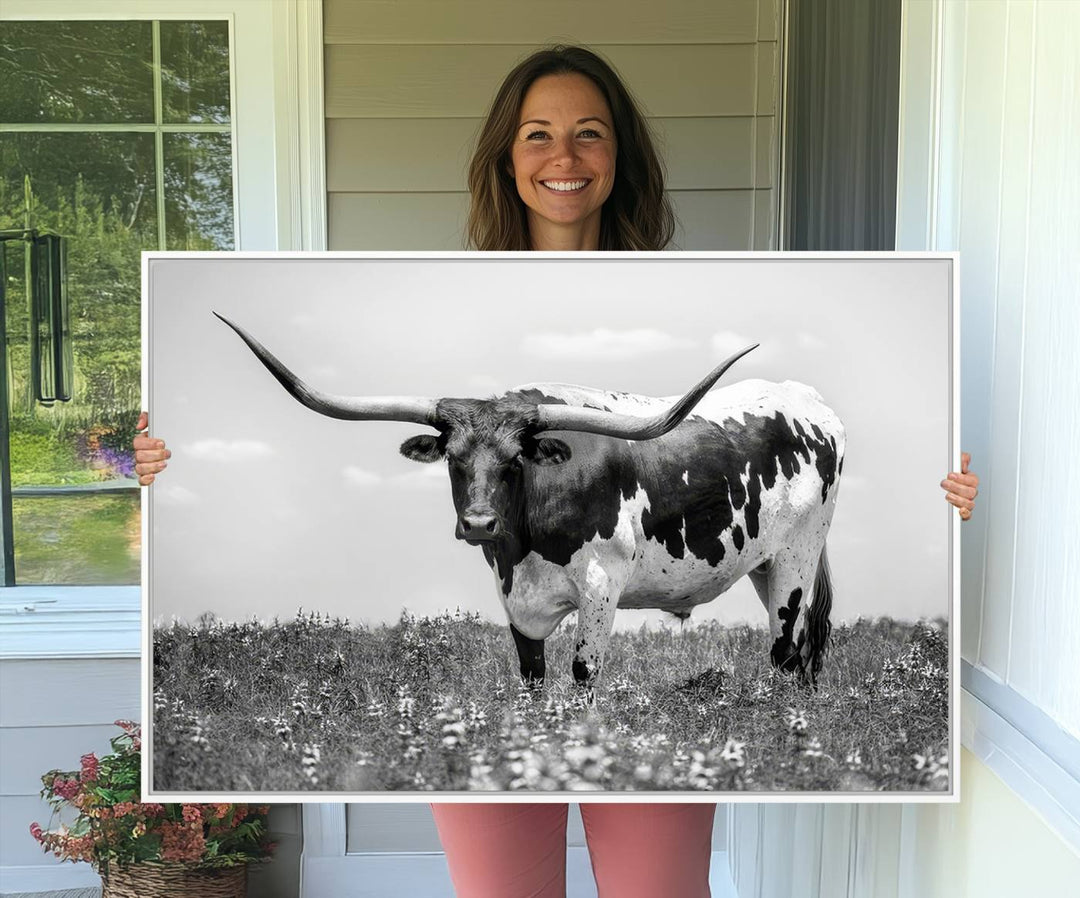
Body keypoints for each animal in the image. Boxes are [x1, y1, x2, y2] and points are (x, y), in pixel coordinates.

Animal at [217, 313, 842, 682]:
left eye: (514, 460)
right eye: (453, 458)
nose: (478, 523)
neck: (524, 544)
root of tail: (807, 400)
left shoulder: (601, 587)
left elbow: (584, 675)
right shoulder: (512, 596)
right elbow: (532, 678)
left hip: (796, 560)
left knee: (787, 654)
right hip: (762, 564)